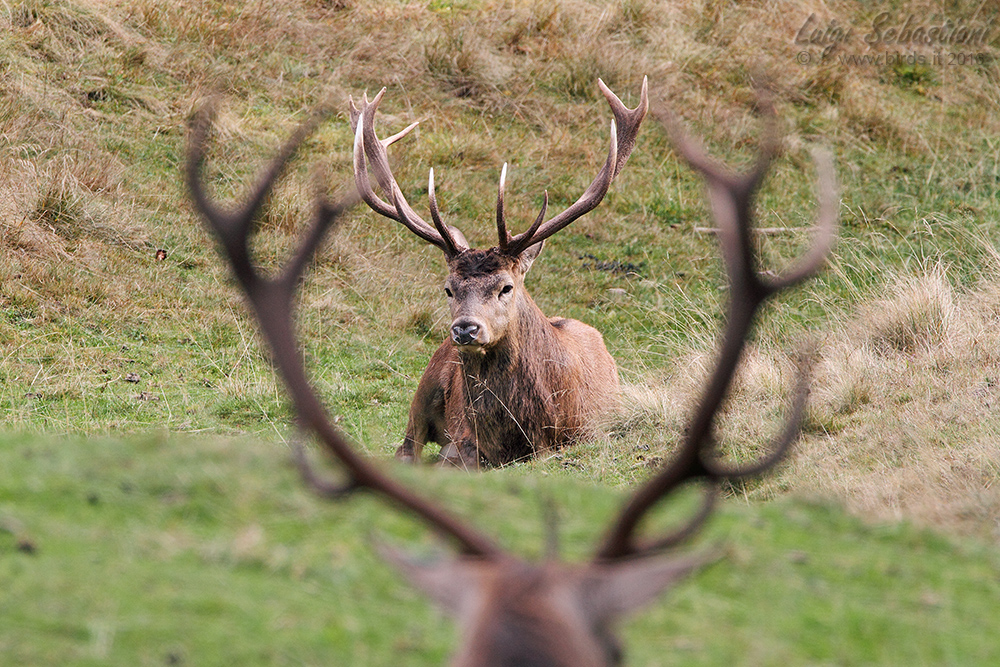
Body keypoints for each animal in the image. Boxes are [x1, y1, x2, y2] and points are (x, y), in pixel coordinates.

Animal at [349, 80, 649, 468]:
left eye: (506, 287)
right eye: (448, 289)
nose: (465, 328)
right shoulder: (463, 440)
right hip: (425, 385)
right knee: (406, 447)